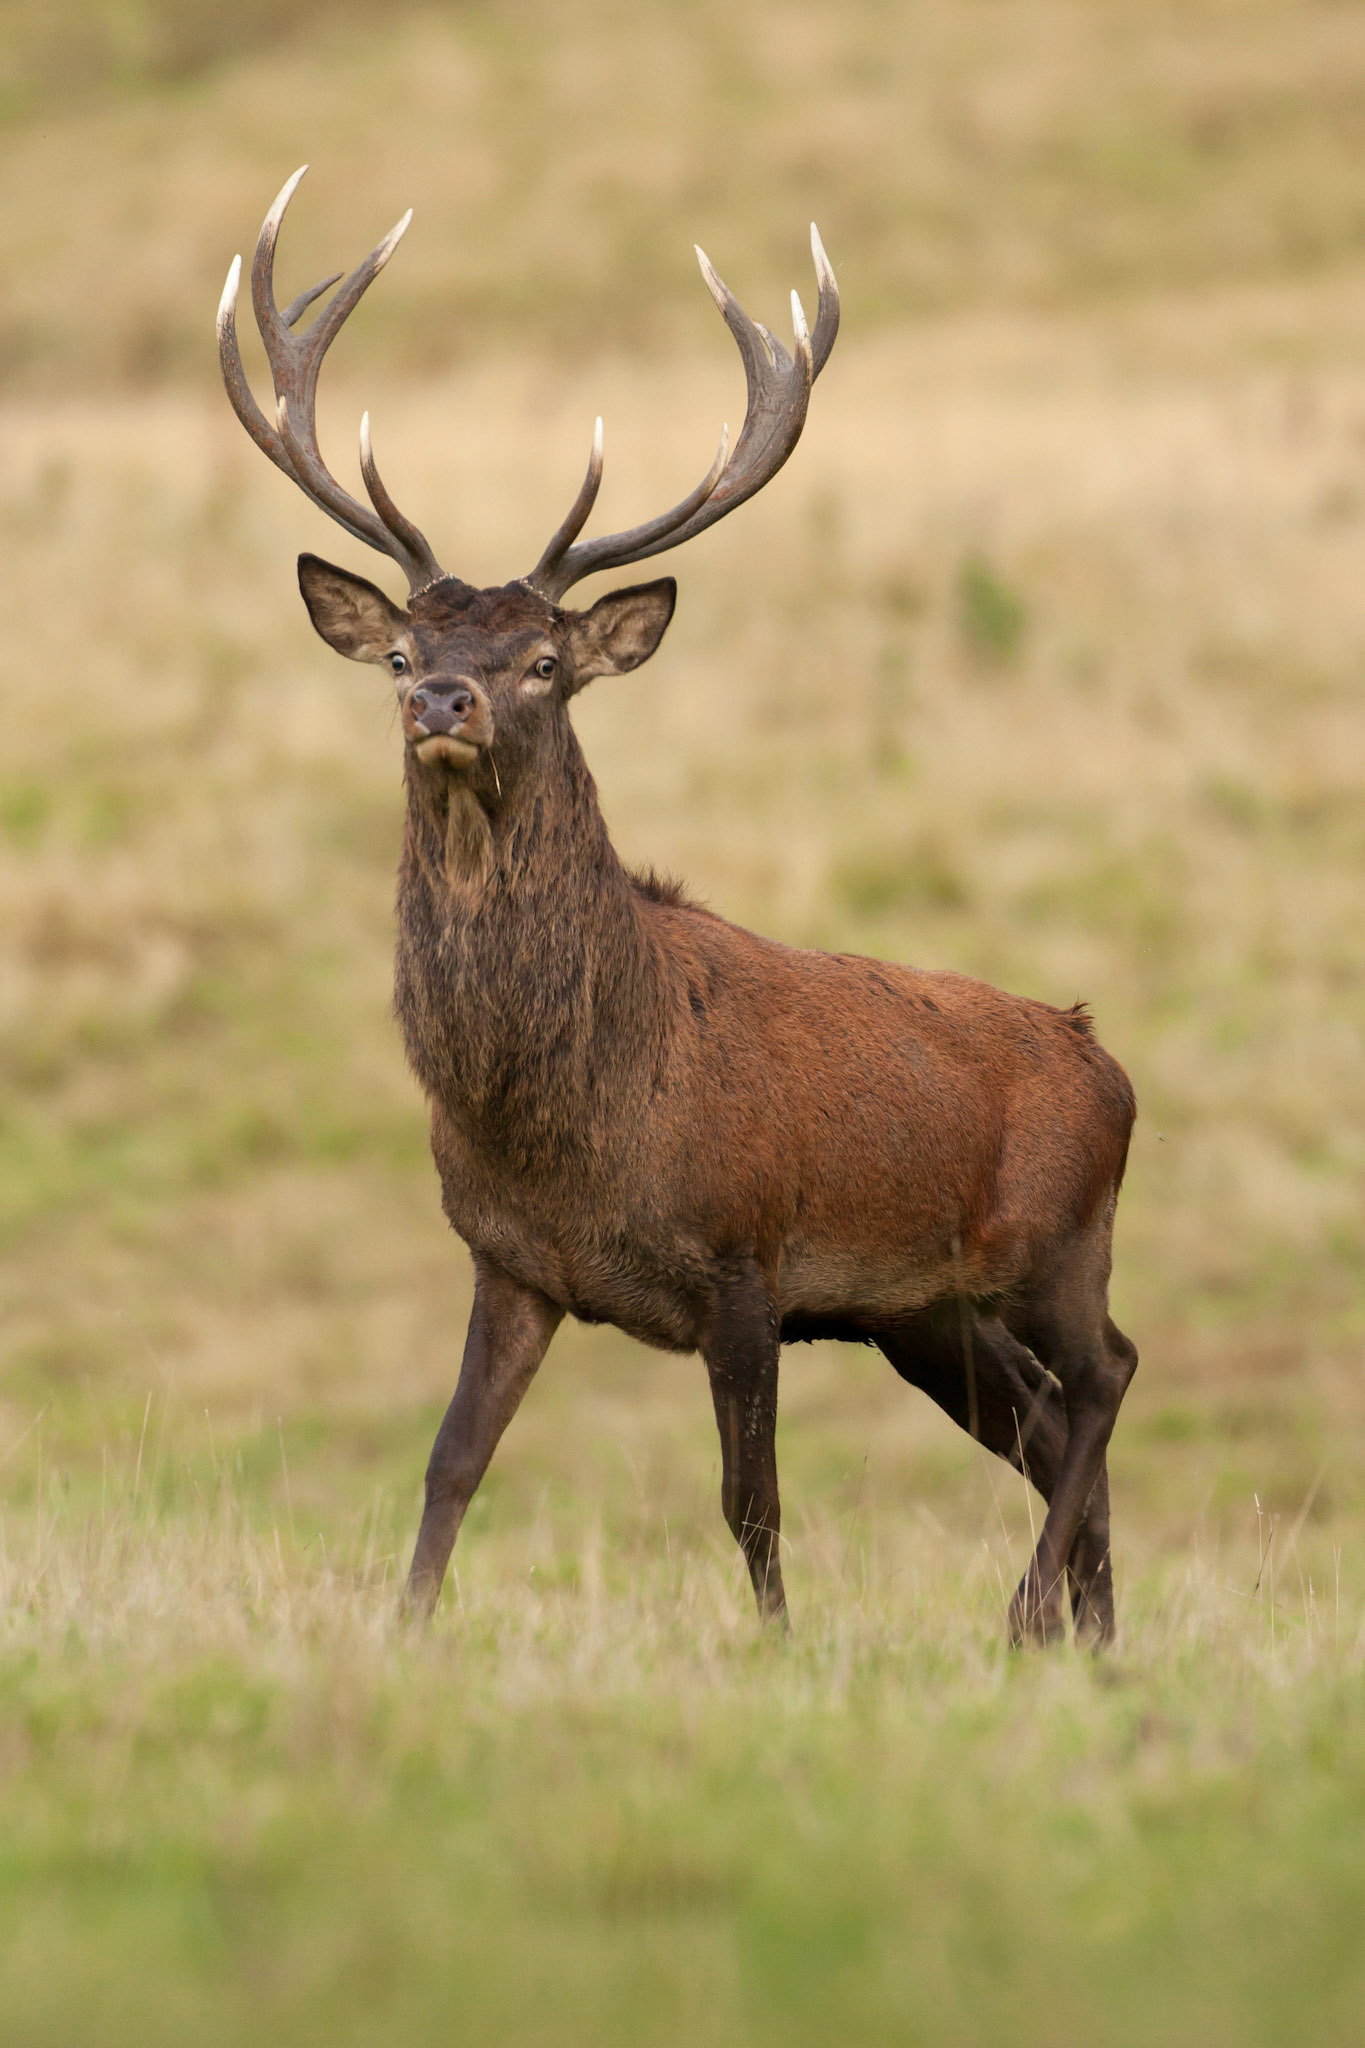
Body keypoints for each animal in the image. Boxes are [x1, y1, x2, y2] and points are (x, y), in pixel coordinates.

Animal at [218, 169, 1138, 1646]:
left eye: (544, 660)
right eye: (404, 650)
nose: (445, 703)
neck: (568, 1116)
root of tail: (1108, 1059)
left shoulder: (743, 1262)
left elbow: (748, 1500)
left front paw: (776, 1649)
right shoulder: (511, 1263)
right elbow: (450, 1463)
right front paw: (403, 1636)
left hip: (1059, 1240)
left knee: (1107, 1373)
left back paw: (1023, 1616)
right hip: (925, 1310)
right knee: (1052, 1428)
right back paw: (1089, 1637)